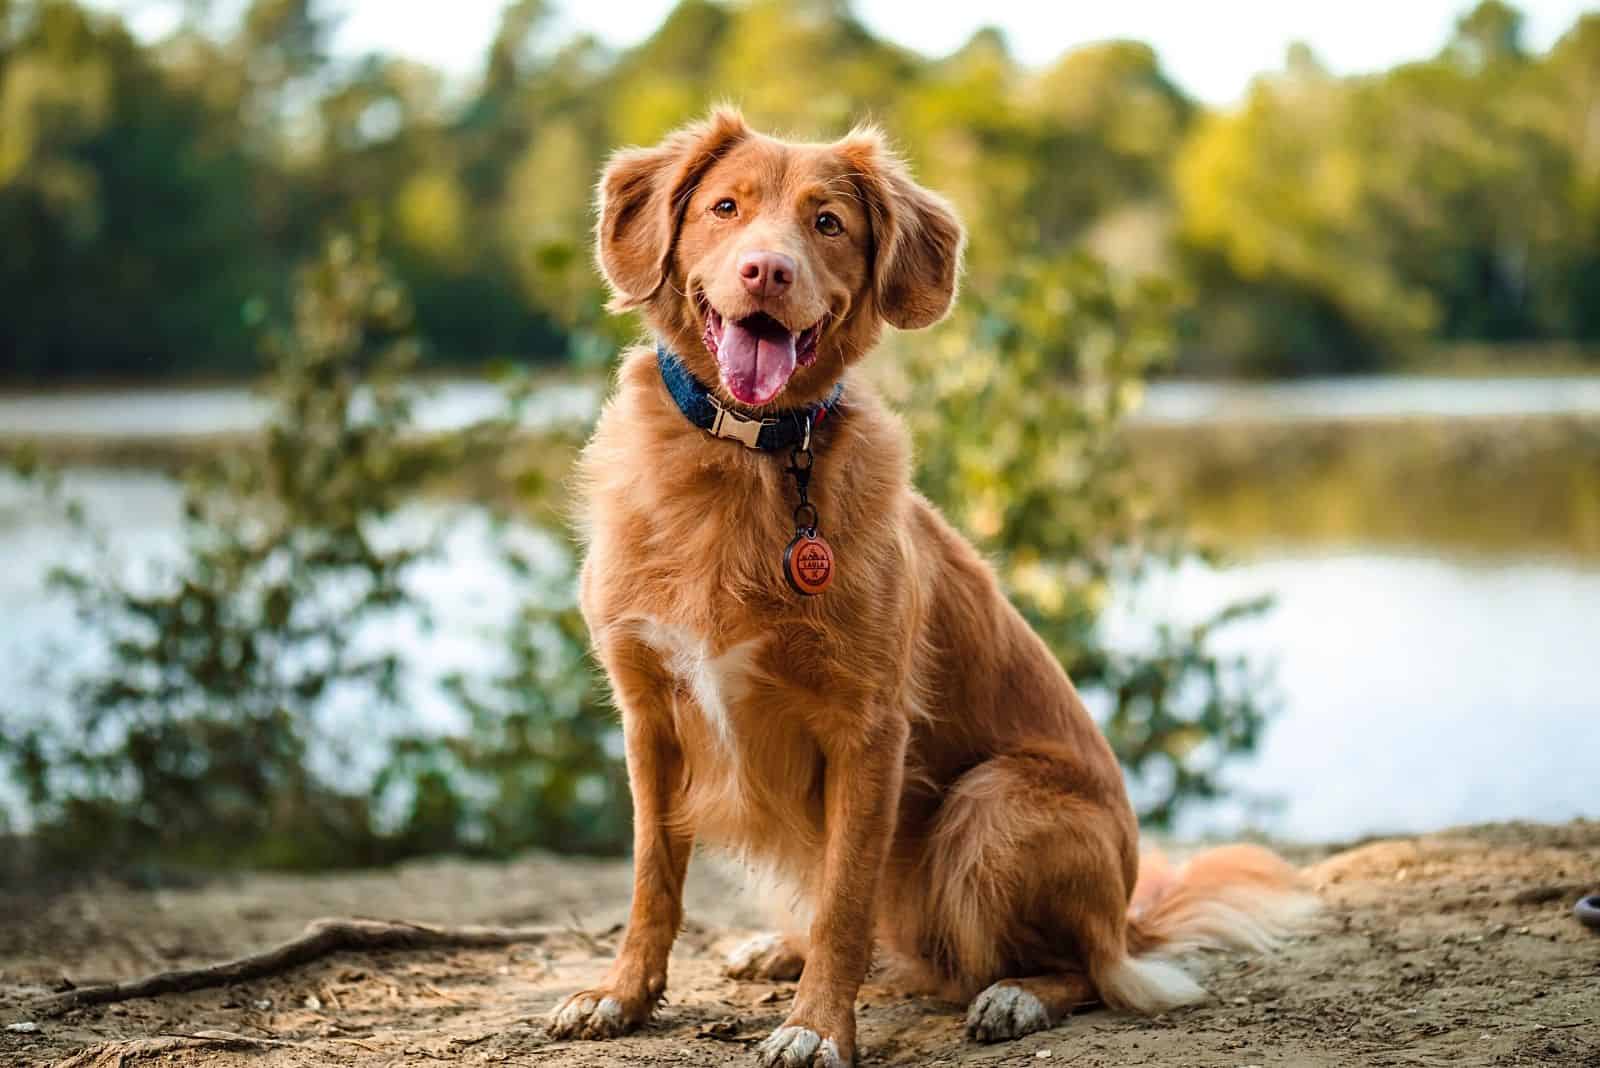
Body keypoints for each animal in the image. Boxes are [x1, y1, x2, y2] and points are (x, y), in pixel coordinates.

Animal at [550, 112, 1312, 1061]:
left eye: (828, 223)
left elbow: (845, 900)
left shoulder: (868, 728)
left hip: (993, 805)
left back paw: (1014, 997)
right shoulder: (649, 714)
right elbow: (652, 878)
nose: (768, 270)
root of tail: (1130, 916)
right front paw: (622, 995)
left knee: (1086, 971)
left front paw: (816, 1028)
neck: (747, 459)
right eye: (726, 208)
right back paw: (778, 950)